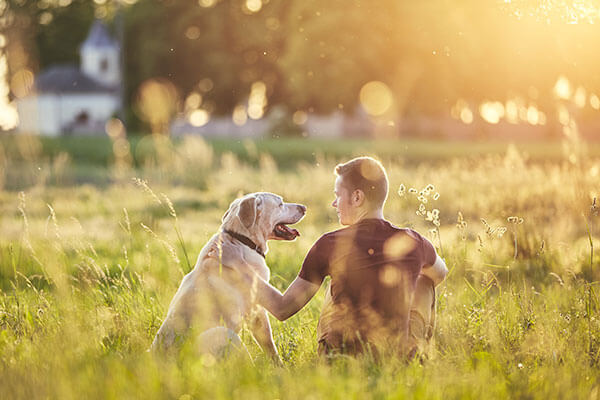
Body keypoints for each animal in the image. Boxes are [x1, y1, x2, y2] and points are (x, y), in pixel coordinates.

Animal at [152, 192, 308, 360]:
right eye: (280, 204)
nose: (304, 207)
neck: (241, 240)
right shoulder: (257, 309)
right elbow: (269, 343)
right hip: (224, 333)